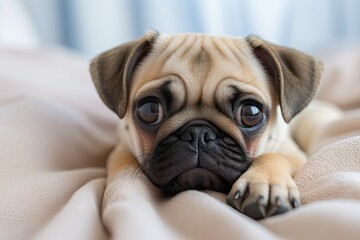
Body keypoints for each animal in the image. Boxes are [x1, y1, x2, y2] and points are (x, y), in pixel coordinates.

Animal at [90, 30, 324, 219]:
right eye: (150, 110)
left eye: (250, 113)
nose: (198, 132)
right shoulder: (121, 148)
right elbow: (123, 168)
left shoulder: (292, 152)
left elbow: (273, 156)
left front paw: (266, 183)